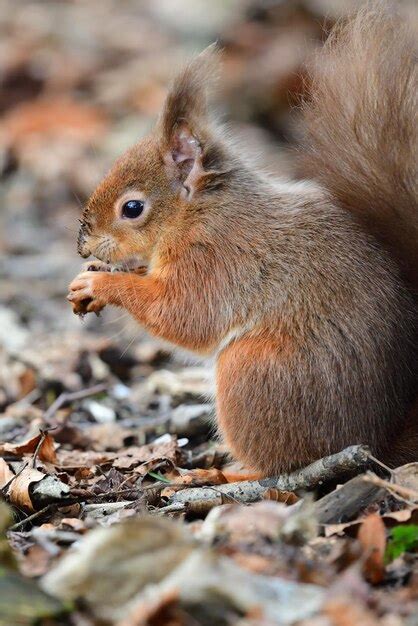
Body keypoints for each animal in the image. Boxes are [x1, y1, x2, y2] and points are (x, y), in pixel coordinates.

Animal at [67, 4, 416, 472]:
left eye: (133, 208)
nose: (83, 245)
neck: (195, 213)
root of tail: (376, 441)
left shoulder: (214, 256)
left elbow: (184, 314)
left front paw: (101, 283)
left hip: (251, 372)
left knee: (280, 463)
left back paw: (228, 472)